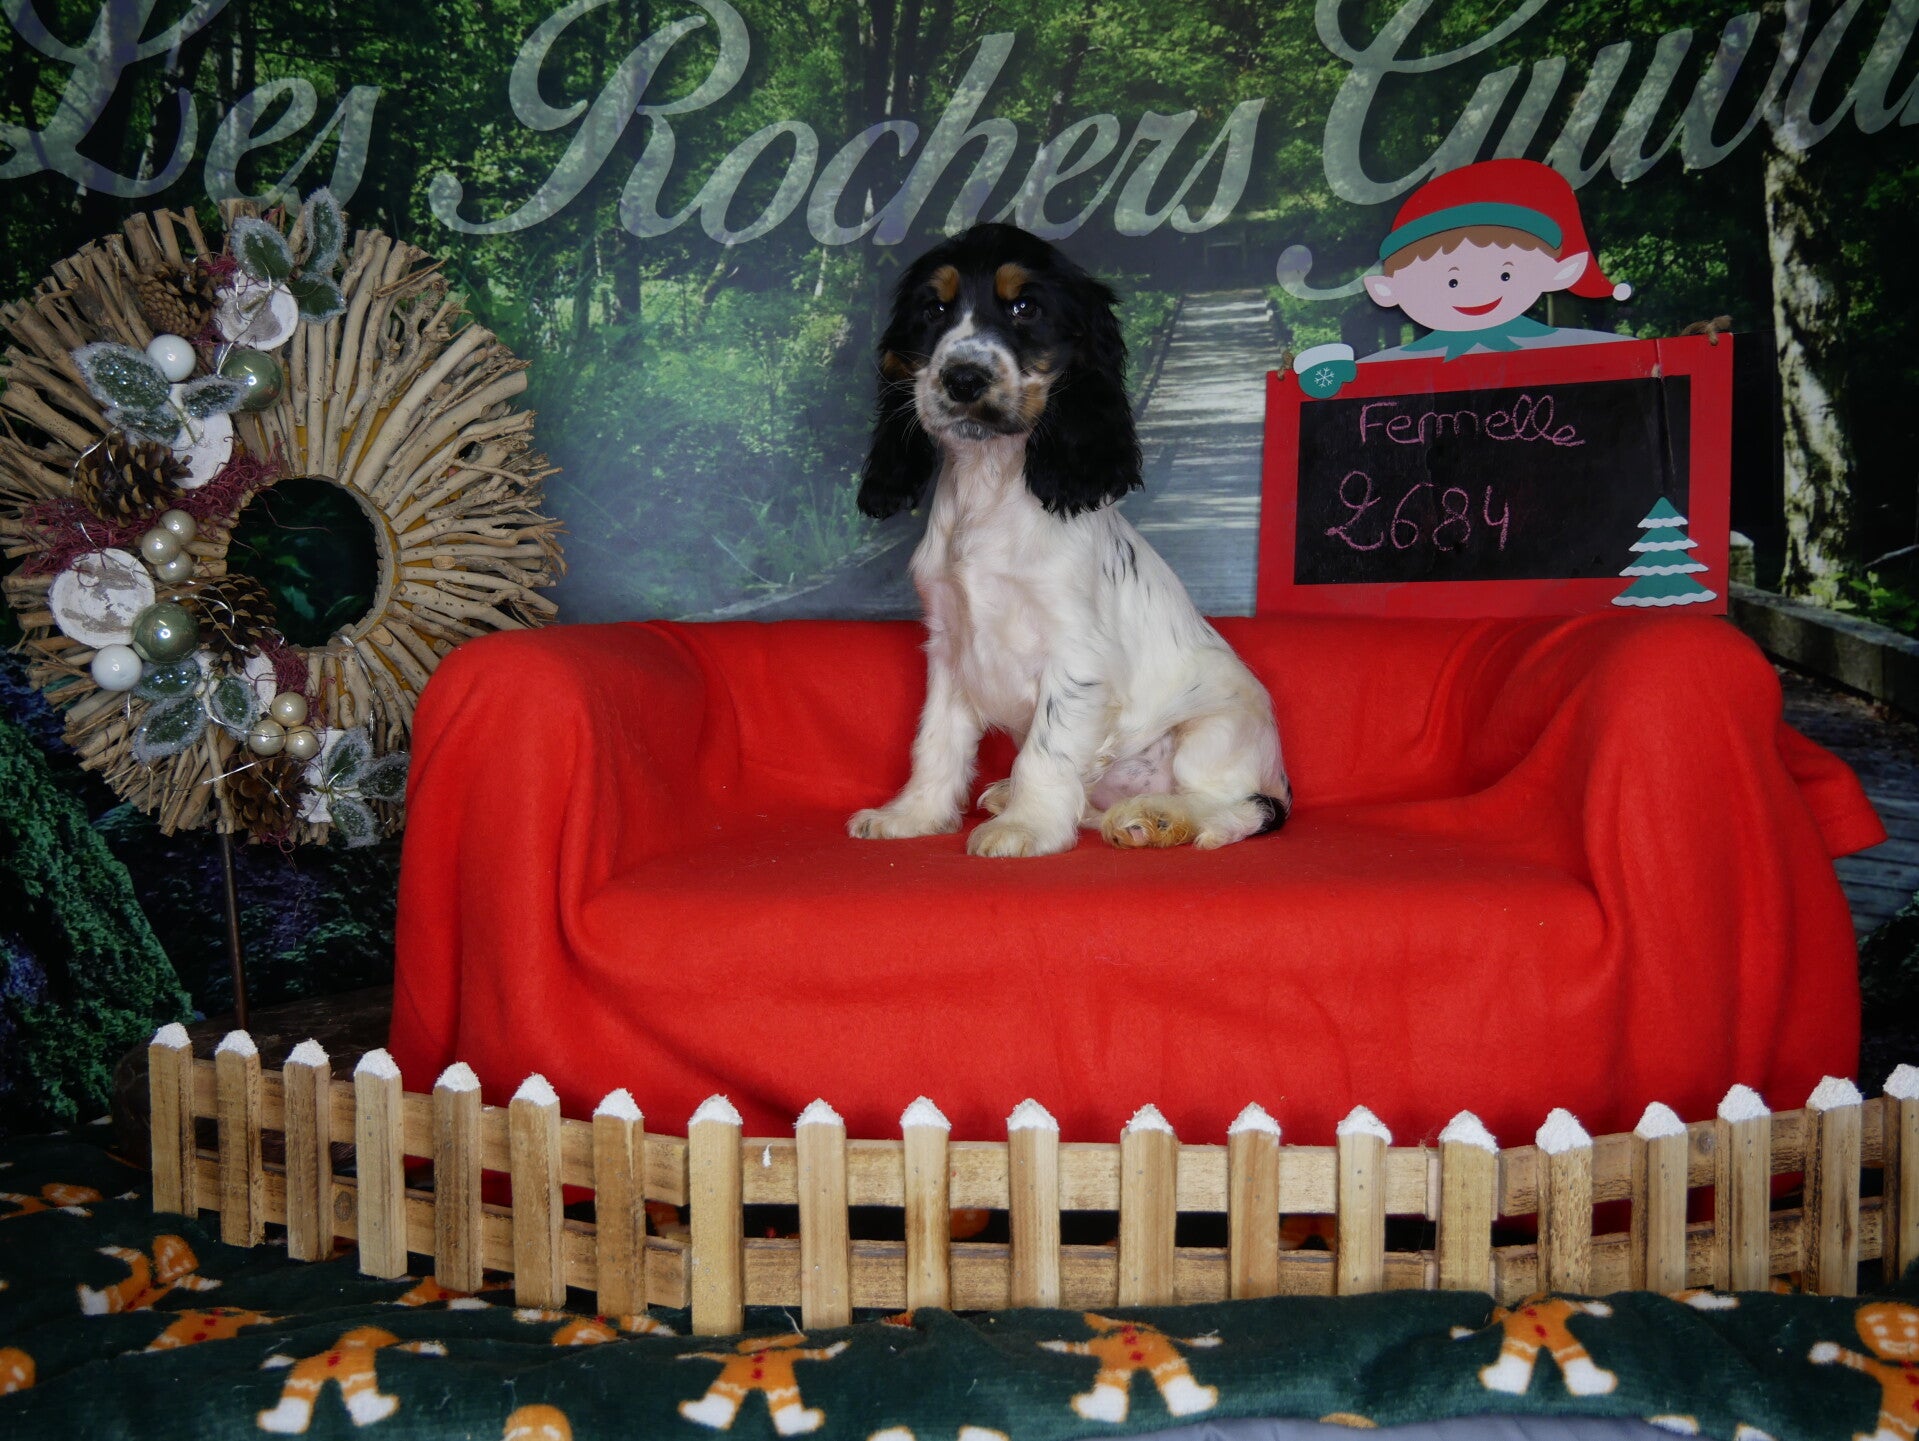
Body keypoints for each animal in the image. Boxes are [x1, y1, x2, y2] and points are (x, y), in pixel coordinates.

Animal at [848, 223, 1290, 859]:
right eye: (933, 310)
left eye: (1025, 308)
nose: (963, 377)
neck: (990, 484)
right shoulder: (950, 648)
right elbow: (936, 741)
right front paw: (913, 816)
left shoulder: (1075, 655)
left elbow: (1045, 748)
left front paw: (1026, 827)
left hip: (1217, 730)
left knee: (1234, 807)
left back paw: (1155, 818)